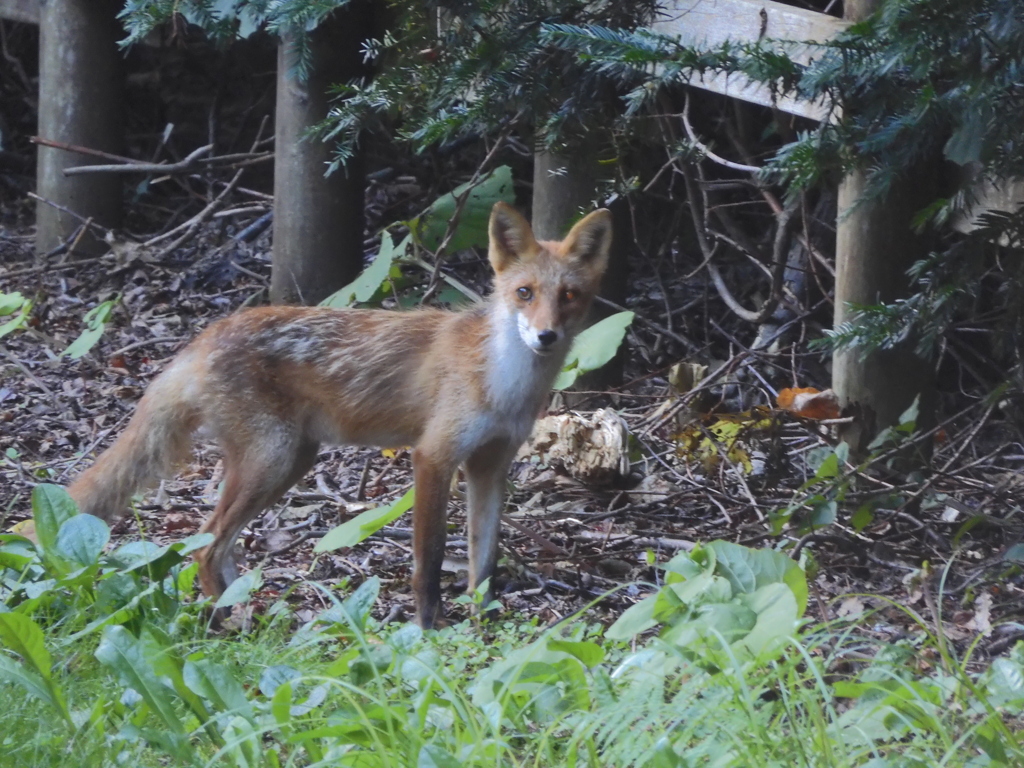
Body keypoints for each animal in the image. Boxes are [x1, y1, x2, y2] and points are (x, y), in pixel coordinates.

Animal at [74, 201, 614, 626]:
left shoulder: (490, 466)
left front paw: (484, 631)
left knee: (221, 549)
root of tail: (205, 335)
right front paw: (429, 633)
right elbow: (429, 562)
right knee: (206, 546)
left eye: (568, 296)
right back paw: (226, 625)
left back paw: (248, 619)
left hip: (290, 462)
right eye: (524, 293)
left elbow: (484, 564)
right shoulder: (433, 456)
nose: (545, 336)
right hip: (271, 461)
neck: (502, 383)